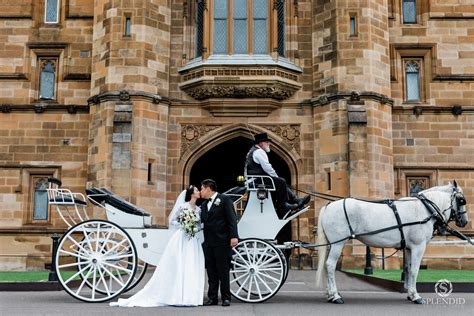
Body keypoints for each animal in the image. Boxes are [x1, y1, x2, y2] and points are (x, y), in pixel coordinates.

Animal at [316, 183, 468, 304]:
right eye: (461, 200)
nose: (465, 221)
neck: (424, 209)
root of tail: (328, 206)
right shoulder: (418, 246)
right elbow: (415, 270)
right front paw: (416, 296)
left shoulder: (409, 247)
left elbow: (408, 269)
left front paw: (410, 294)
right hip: (338, 243)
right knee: (330, 265)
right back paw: (335, 296)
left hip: (331, 244)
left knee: (326, 266)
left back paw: (330, 295)